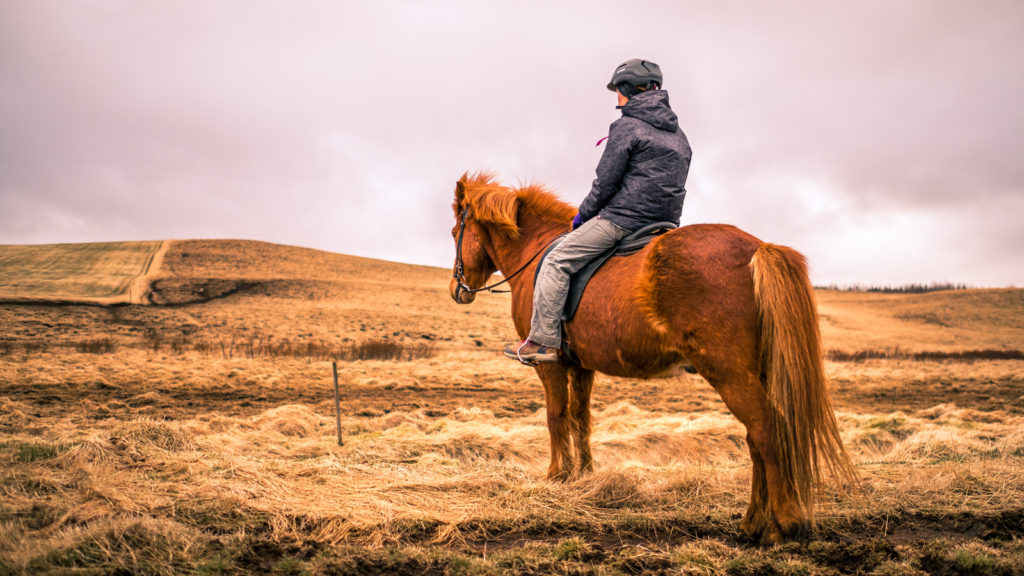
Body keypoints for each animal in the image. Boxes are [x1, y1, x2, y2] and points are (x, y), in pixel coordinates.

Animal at [447, 172, 855, 544]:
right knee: (758, 439)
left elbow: (555, 417)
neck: (536, 250)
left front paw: (557, 477)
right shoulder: (582, 366)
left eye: (455, 233)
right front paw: (584, 475)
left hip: (730, 374)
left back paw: (778, 525)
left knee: (766, 433)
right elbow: (581, 419)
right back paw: (753, 522)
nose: (457, 289)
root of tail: (759, 247)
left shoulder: (551, 364)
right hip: (759, 374)